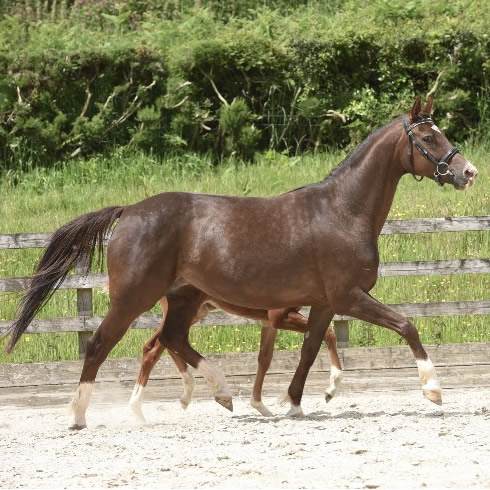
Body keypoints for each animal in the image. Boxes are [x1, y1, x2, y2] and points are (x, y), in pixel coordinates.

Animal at [5, 96, 476, 428]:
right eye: (429, 138)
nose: (468, 172)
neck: (343, 211)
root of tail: (130, 210)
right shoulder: (349, 296)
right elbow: (406, 325)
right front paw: (433, 389)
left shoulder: (324, 303)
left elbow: (310, 349)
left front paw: (292, 403)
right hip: (133, 298)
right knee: (103, 344)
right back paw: (79, 416)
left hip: (184, 298)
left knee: (171, 339)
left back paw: (222, 393)